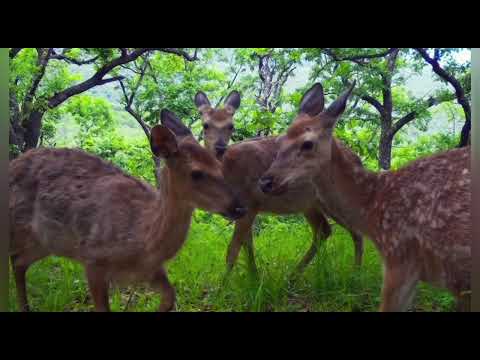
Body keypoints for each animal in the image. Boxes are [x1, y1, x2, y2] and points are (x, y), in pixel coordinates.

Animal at [9, 110, 248, 312]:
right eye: (196, 173)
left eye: (220, 166)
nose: (240, 207)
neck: (142, 238)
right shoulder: (93, 259)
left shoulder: (150, 270)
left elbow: (170, 297)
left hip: (45, 242)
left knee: (19, 262)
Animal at [189, 88, 362, 274]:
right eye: (205, 125)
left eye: (231, 126)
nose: (220, 147)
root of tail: (357, 160)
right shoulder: (247, 209)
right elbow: (247, 245)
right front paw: (254, 276)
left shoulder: (249, 203)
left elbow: (233, 250)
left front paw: (226, 282)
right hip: (309, 204)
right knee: (324, 230)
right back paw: (294, 275)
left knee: (354, 231)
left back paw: (356, 272)